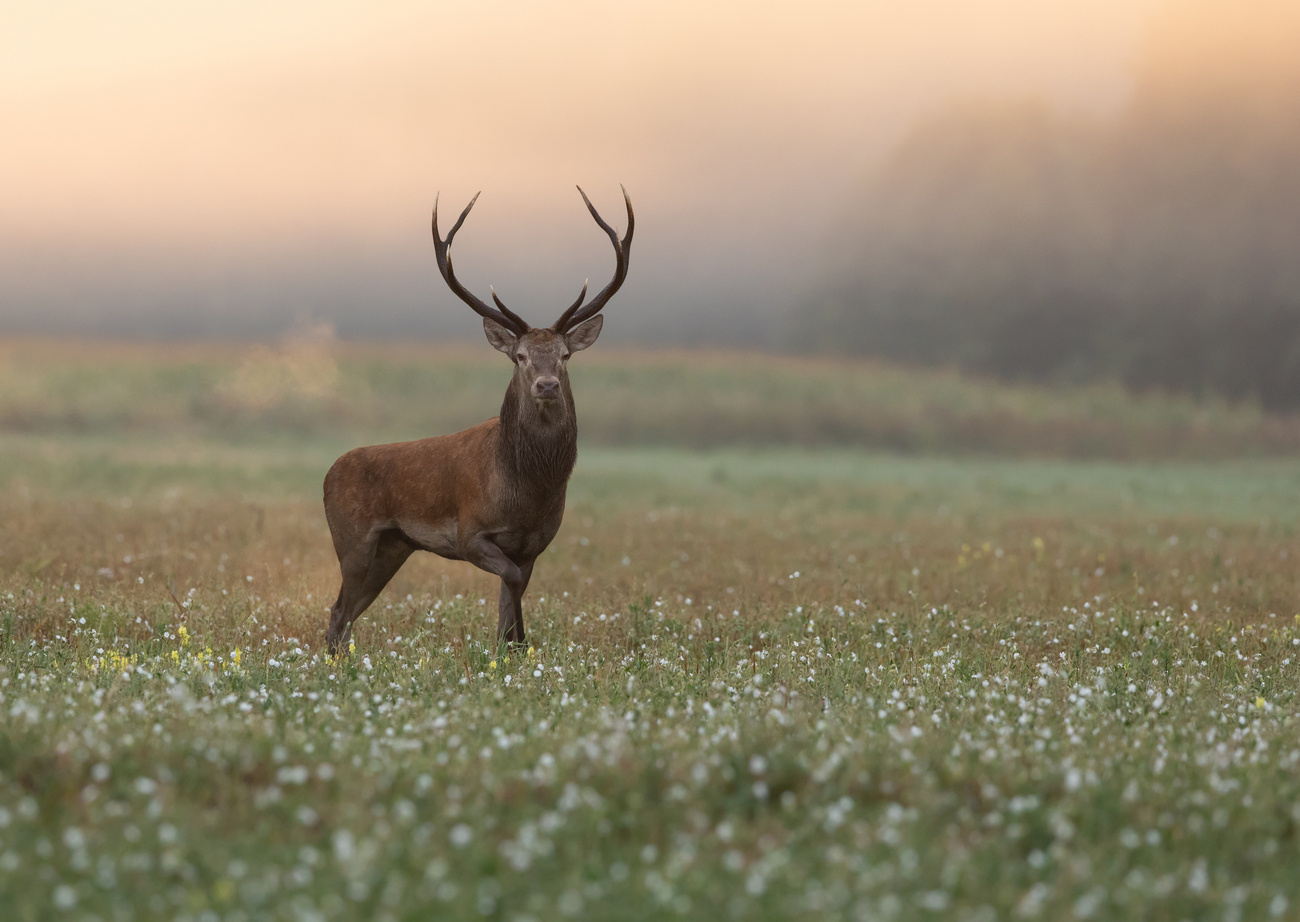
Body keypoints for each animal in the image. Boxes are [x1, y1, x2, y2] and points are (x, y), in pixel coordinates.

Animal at [322, 186, 633, 656]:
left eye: (564, 355)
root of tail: (326, 475)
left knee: (345, 614)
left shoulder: (534, 544)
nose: (546, 385)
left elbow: (512, 592)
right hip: (353, 540)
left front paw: (514, 648)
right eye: (520, 356)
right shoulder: (470, 532)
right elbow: (512, 582)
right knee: (338, 613)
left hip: (392, 548)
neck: (528, 492)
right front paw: (517, 643)